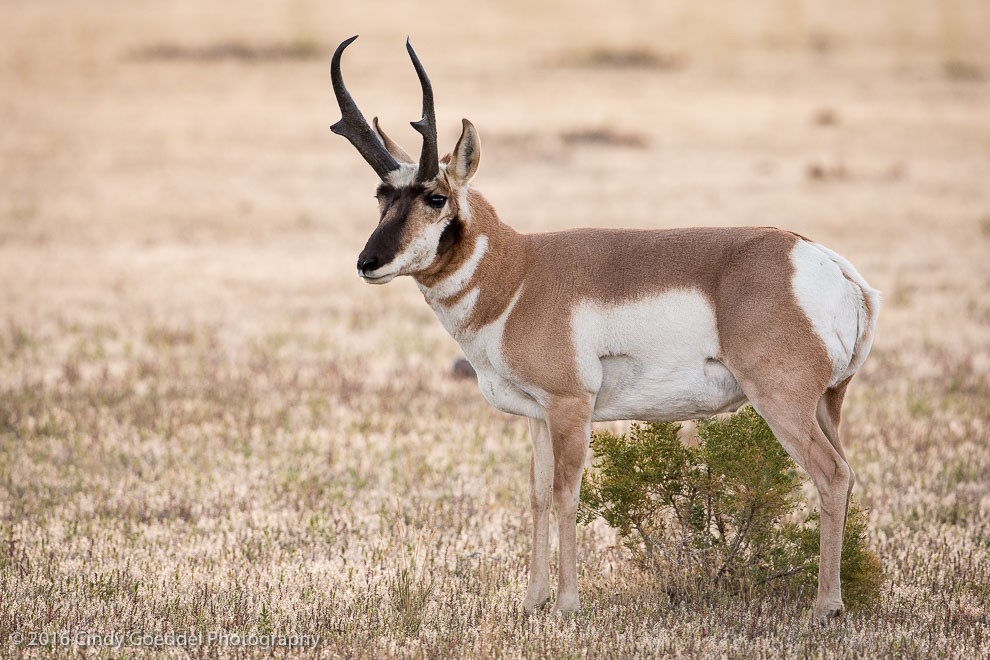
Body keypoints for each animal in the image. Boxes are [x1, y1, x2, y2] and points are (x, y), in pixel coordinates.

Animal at [334, 37, 884, 624]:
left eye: (435, 197)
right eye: (381, 195)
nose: (367, 262)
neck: (519, 271)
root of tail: (821, 260)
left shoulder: (571, 406)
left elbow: (567, 494)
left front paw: (567, 605)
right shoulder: (537, 415)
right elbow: (537, 496)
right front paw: (532, 601)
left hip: (782, 402)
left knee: (831, 475)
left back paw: (825, 607)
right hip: (826, 405)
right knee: (847, 474)